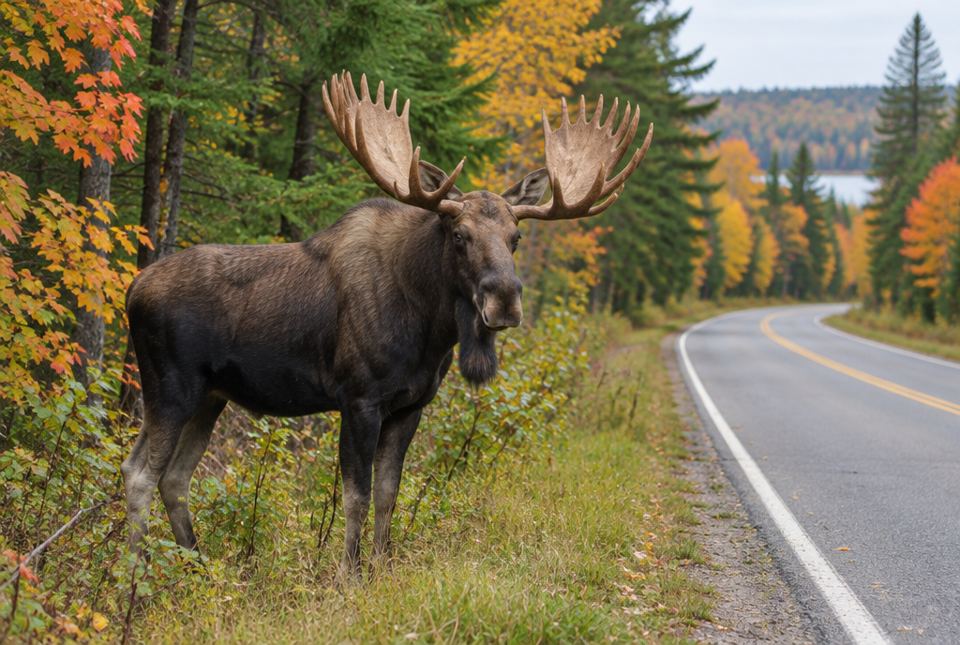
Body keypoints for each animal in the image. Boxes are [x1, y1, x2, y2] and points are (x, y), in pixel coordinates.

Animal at [121, 71, 652, 579]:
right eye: (459, 235)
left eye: (515, 237)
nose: (504, 299)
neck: (430, 330)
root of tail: (131, 291)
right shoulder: (359, 399)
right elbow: (355, 495)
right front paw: (348, 574)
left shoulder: (410, 405)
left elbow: (387, 493)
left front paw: (381, 566)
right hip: (171, 387)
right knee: (141, 472)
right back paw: (136, 579)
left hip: (210, 396)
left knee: (173, 477)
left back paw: (198, 568)